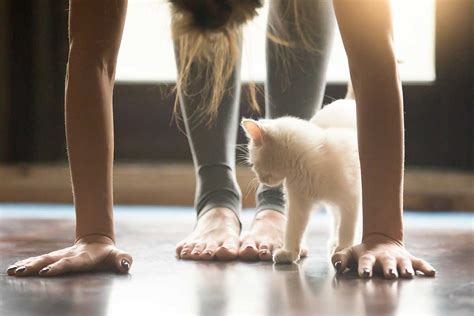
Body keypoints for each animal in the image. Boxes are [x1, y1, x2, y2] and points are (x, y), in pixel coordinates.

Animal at [243, 99, 362, 264]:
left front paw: (344, 248)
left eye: (253, 164)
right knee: (335, 218)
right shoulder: (298, 203)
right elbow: (293, 228)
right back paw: (333, 241)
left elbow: (347, 227)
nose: (260, 179)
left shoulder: (351, 199)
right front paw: (289, 252)